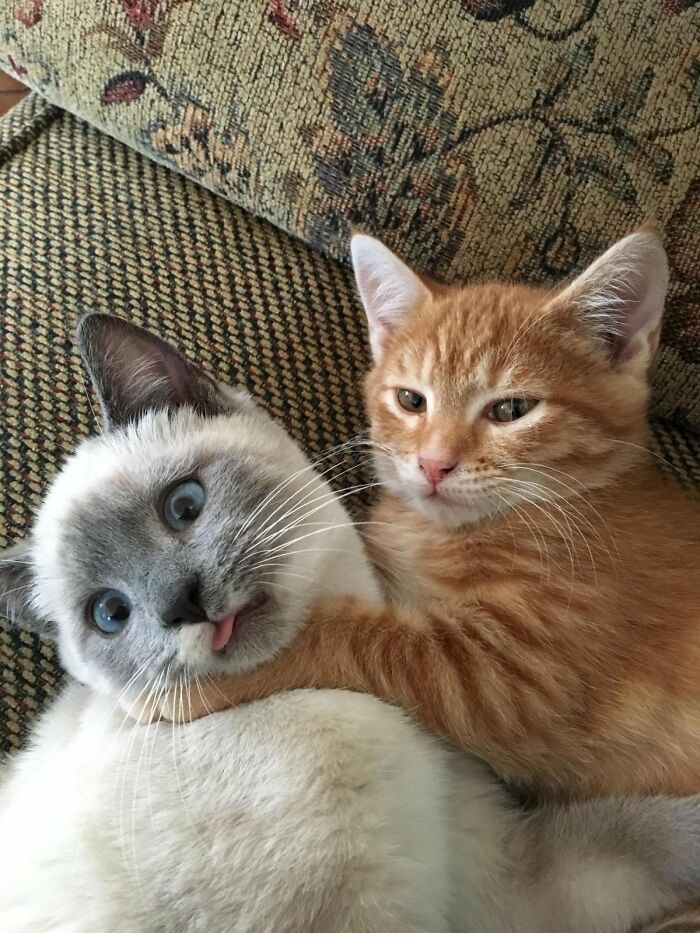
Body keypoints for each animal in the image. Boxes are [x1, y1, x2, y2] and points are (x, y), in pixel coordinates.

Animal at [1, 314, 700, 932]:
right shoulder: (363, 917)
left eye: (183, 506)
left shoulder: (502, 885)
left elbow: (651, 831)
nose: (183, 603)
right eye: (110, 614)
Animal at [160, 224, 700, 792]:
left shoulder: (508, 675)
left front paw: (208, 676)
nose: (434, 464)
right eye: (412, 401)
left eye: (512, 409)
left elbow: (356, 639)